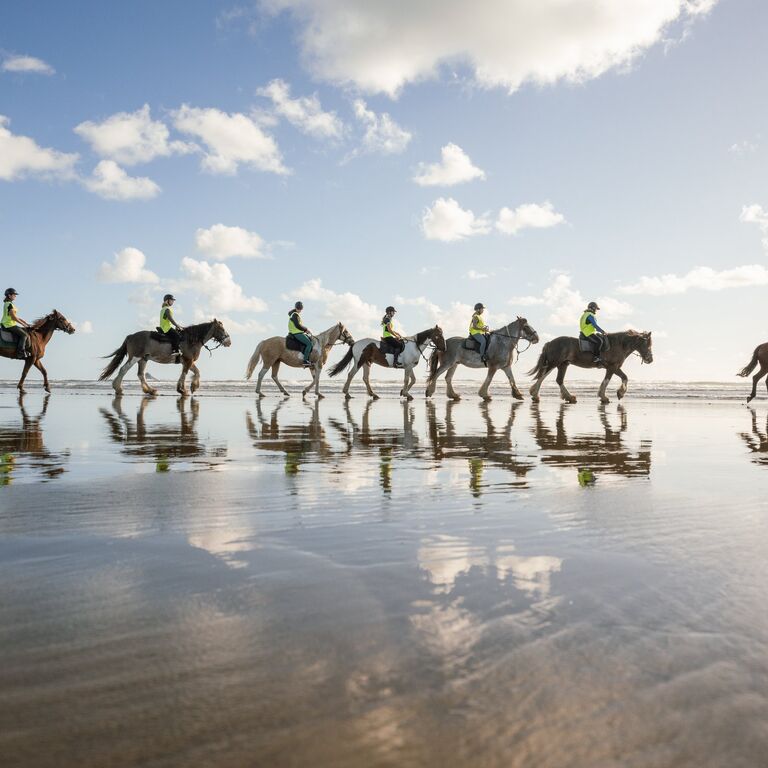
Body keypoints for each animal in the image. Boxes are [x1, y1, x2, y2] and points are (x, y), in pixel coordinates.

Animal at [99, 319, 231, 396]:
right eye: (222, 329)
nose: (229, 342)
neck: (191, 340)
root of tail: (130, 336)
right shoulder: (188, 361)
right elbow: (185, 374)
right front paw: (183, 390)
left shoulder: (187, 361)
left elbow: (197, 372)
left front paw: (193, 387)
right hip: (135, 357)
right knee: (123, 369)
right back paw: (118, 388)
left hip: (143, 359)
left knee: (141, 375)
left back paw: (150, 390)